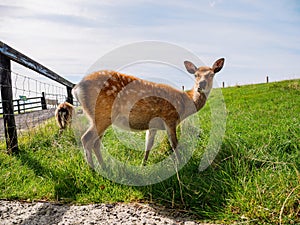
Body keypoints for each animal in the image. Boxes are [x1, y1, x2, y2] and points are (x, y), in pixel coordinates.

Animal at [71, 58, 224, 169]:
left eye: (211, 74)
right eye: (196, 75)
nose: (201, 85)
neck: (185, 103)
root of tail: (76, 88)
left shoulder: (153, 126)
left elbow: (148, 146)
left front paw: (142, 165)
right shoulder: (170, 117)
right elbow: (174, 144)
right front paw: (180, 164)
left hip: (98, 117)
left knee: (95, 143)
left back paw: (104, 167)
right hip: (102, 114)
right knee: (86, 139)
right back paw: (93, 169)